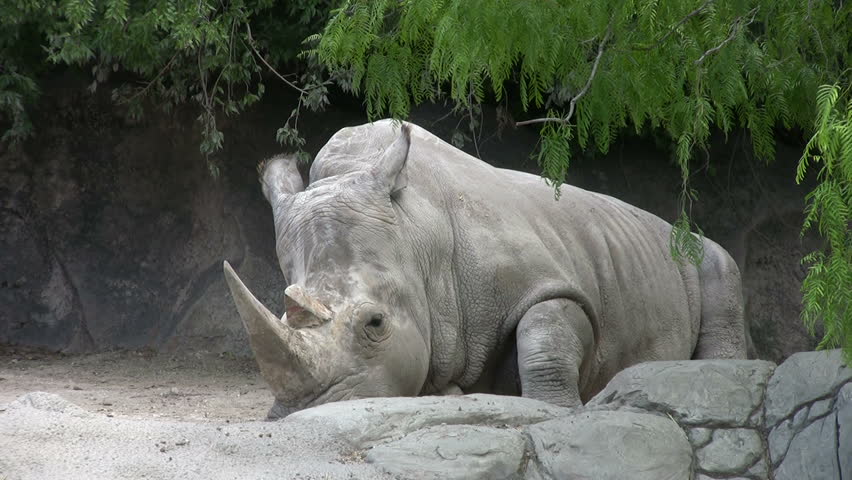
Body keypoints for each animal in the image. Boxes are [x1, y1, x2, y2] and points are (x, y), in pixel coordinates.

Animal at [224, 119, 747, 417]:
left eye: (375, 323)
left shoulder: (550, 284)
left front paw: (557, 413)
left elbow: (544, 336)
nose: (306, 411)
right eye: (283, 312)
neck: (419, 238)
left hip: (697, 253)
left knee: (720, 264)